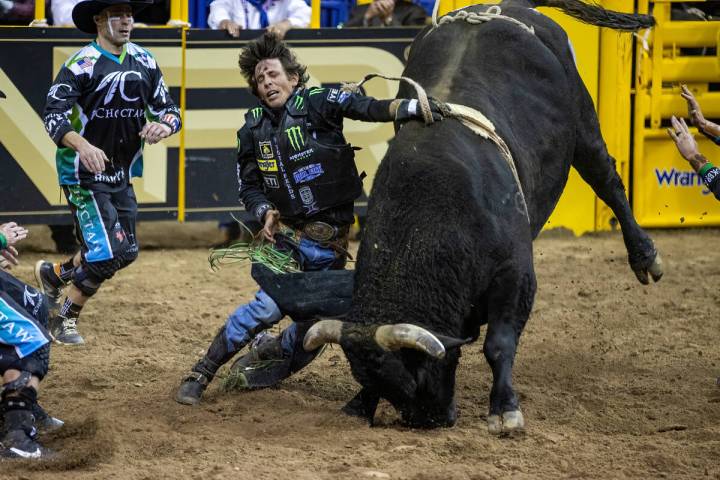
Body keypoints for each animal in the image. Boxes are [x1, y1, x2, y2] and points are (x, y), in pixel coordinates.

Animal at [268, 0, 660, 432]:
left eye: (416, 371)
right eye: (383, 381)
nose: (430, 420)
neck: (432, 216)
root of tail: (509, 7)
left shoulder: (515, 274)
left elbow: (498, 344)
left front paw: (505, 409)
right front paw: (360, 403)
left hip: (583, 122)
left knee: (607, 179)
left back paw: (645, 257)